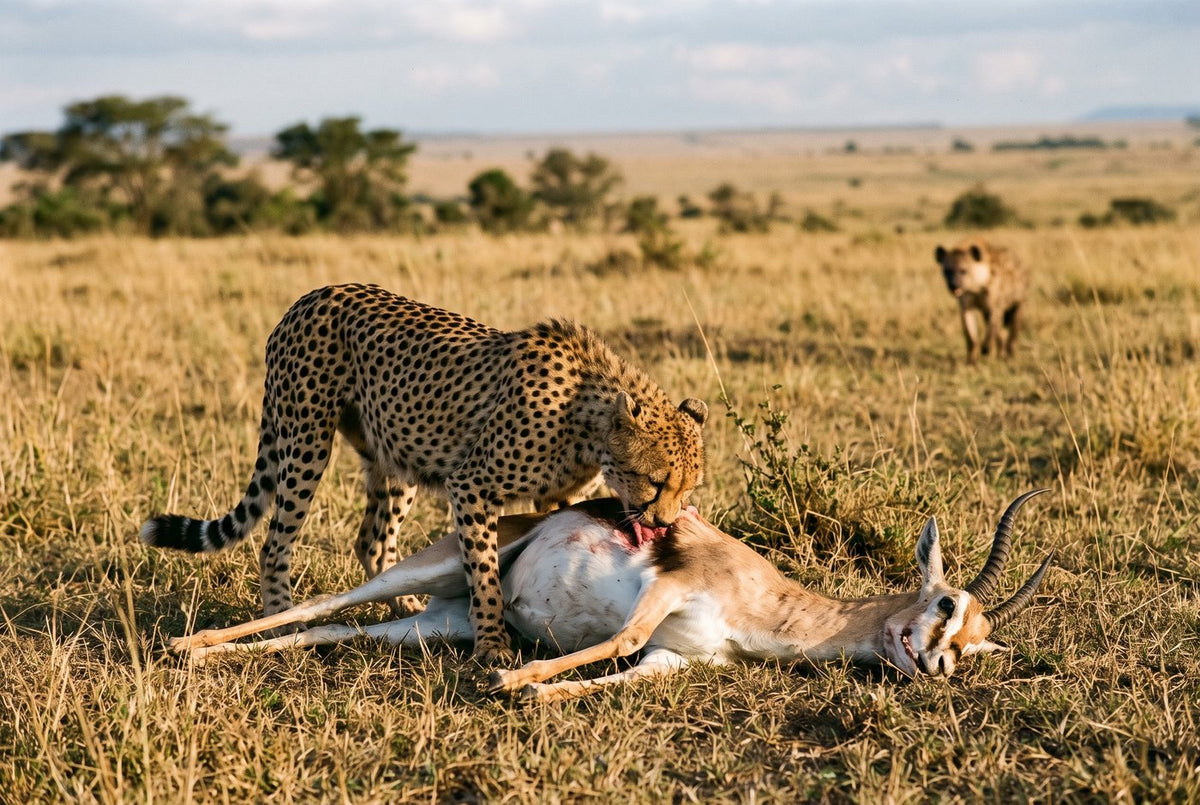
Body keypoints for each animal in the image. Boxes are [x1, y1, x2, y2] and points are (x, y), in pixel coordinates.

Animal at [141, 283, 708, 662]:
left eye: (688, 489)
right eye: (656, 481)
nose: (663, 524)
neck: (589, 421)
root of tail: (312, 295)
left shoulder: (556, 500)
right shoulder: (472, 485)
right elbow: (484, 570)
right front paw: (492, 643)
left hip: (393, 453)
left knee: (372, 539)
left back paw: (404, 604)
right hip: (305, 439)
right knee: (277, 541)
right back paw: (276, 620)